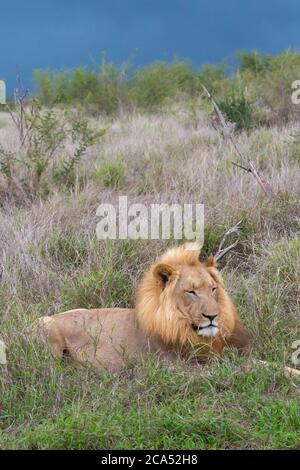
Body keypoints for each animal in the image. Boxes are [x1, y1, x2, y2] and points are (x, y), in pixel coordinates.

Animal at [37, 242, 251, 370]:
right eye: (191, 292)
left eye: (213, 289)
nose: (213, 316)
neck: (178, 323)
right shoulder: (183, 364)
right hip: (47, 330)